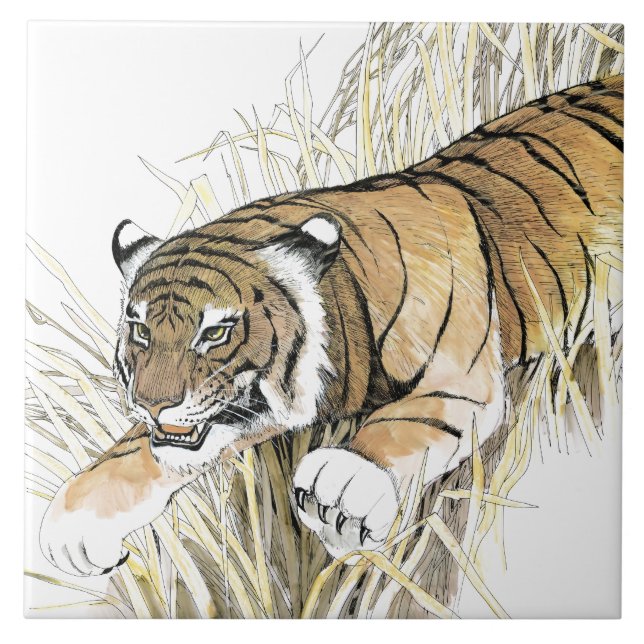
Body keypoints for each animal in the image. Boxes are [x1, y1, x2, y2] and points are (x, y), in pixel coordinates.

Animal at [40, 75, 623, 577]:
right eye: (139, 330)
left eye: (215, 332)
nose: (153, 403)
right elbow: (138, 447)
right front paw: (76, 519)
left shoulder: (459, 378)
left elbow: (408, 421)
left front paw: (344, 482)